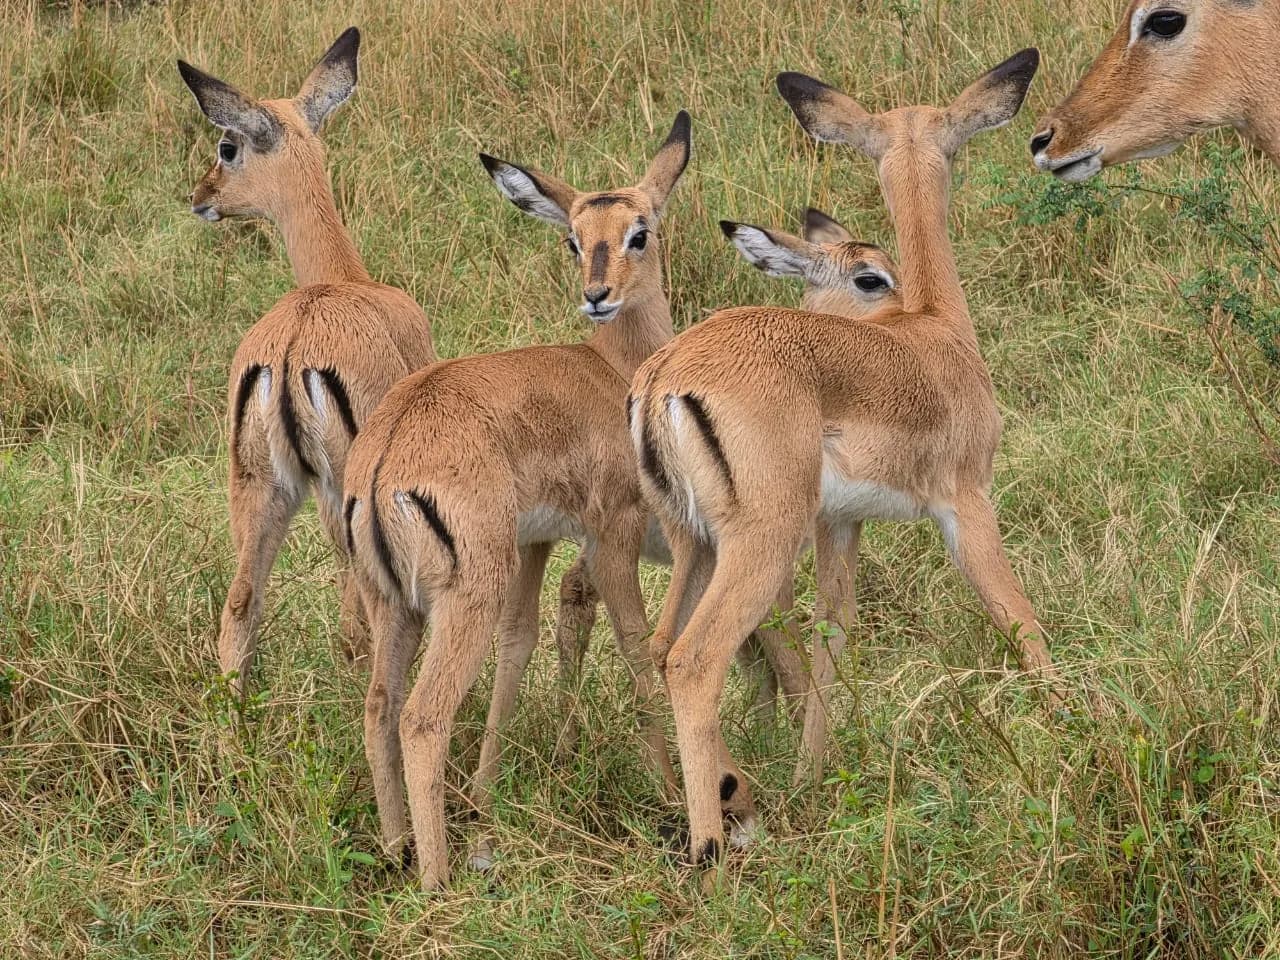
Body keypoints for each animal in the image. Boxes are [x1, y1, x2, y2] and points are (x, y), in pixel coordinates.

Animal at [178, 29, 435, 693]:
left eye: (227, 146)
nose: (200, 196)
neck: (343, 279)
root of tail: (292, 351)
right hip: (337, 498)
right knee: (359, 627)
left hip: (257, 486)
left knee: (240, 602)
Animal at [343, 113, 690, 889]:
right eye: (573, 238)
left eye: (639, 231)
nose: (597, 294)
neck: (612, 370)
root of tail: (384, 459)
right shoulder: (612, 534)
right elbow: (637, 651)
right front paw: (670, 792)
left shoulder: (537, 540)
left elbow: (521, 641)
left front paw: (485, 791)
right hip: (461, 596)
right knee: (422, 717)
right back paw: (437, 880)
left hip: (394, 602)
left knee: (379, 707)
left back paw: (396, 845)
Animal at [629, 50, 1056, 868]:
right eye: (870, 276)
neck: (936, 332)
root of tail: (665, 375)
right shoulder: (966, 501)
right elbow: (1018, 616)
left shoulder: (842, 524)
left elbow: (835, 629)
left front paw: (809, 775)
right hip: (760, 540)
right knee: (694, 662)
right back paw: (711, 850)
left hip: (694, 542)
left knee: (657, 649)